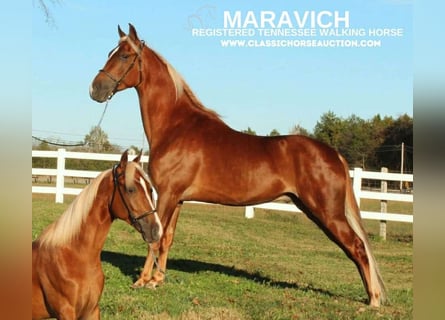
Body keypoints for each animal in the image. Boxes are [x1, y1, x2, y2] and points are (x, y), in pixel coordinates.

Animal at [31, 151, 163, 318]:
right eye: (131, 189)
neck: (75, 255)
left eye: (151, 189)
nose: (157, 230)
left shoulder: (92, 310)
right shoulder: (66, 312)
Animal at [89, 23, 386, 306]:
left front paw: (142, 281)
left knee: (358, 246)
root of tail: (334, 154)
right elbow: (168, 237)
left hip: (327, 212)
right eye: (110, 53)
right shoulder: (177, 198)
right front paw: (157, 279)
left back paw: (373, 299)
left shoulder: (167, 195)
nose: (95, 89)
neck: (176, 126)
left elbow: (155, 238)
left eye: (124, 55)